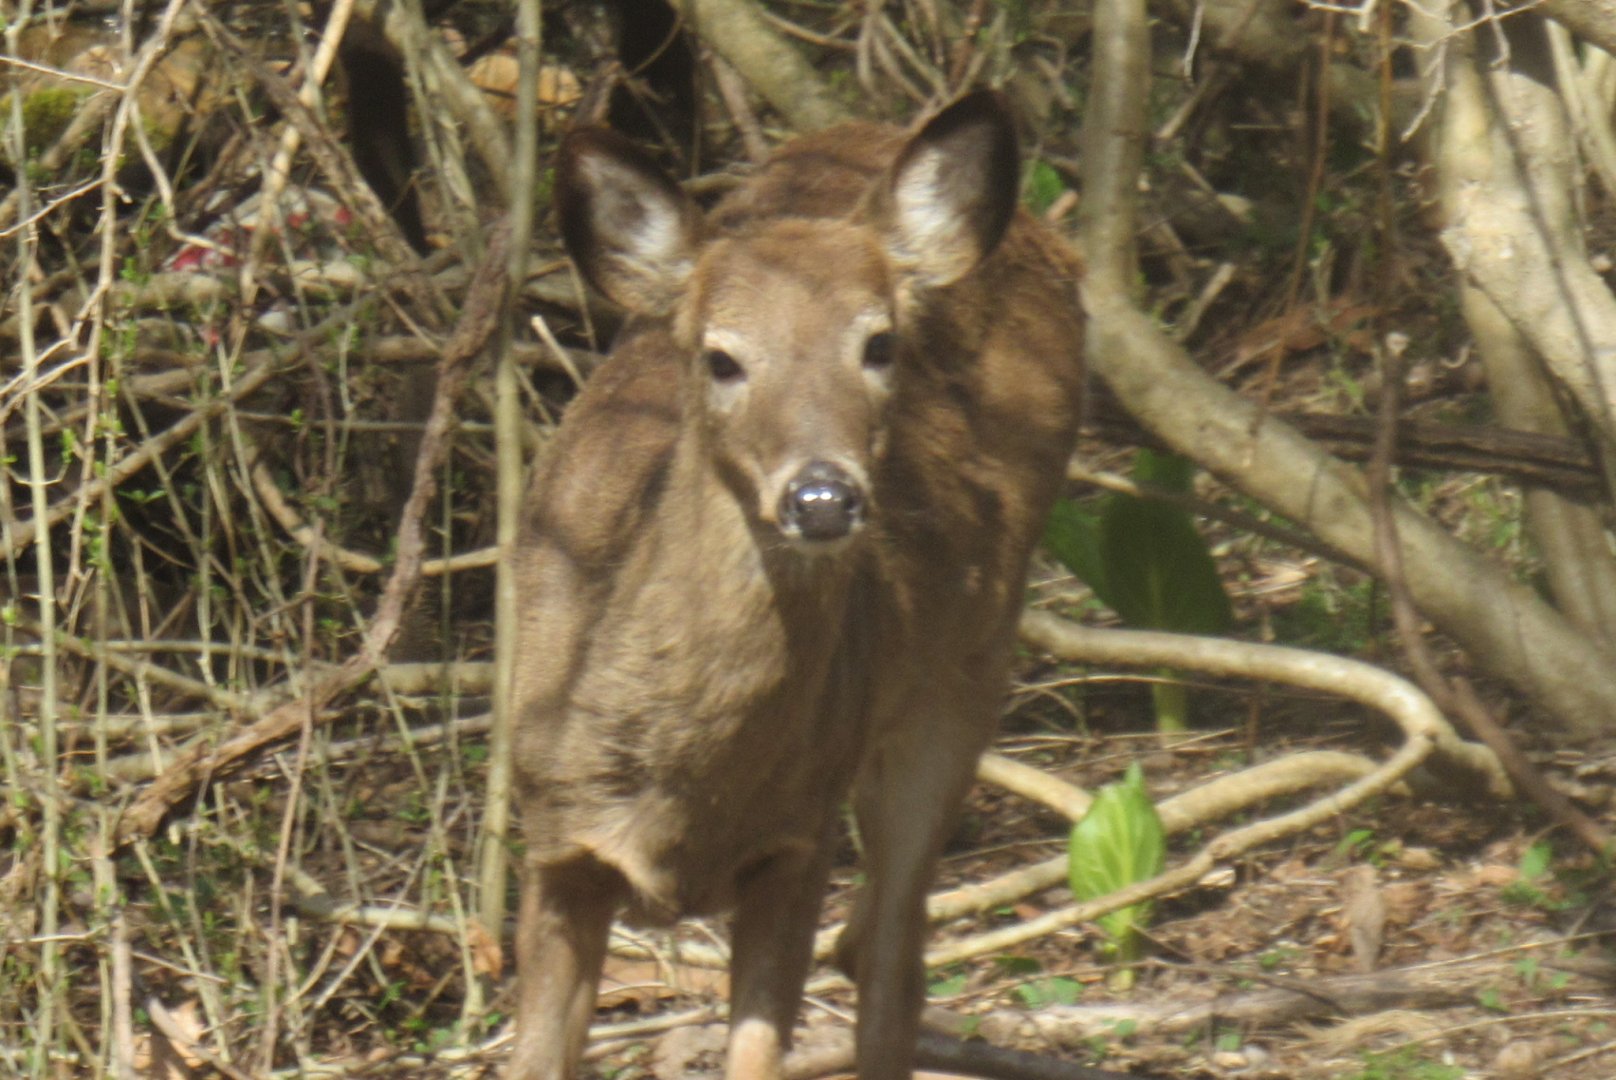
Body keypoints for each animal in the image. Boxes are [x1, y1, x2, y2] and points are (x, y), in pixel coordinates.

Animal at [507, 90, 1086, 1080]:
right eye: (720, 356)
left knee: (892, 950)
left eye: (880, 344)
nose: (821, 497)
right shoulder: (554, 843)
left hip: (967, 668)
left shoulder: (798, 841)